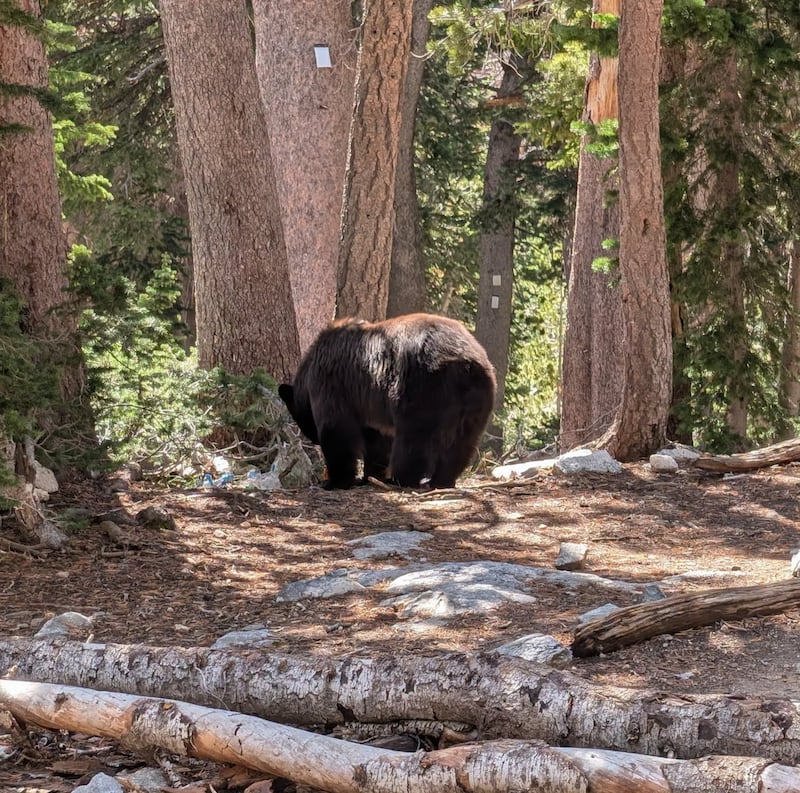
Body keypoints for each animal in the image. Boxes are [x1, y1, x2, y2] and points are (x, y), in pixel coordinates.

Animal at [278, 313, 496, 490]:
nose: (313, 440)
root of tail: (465, 362)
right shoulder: (369, 405)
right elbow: (377, 439)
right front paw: (371, 475)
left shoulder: (332, 385)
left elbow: (337, 430)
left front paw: (335, 481)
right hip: (478, 398)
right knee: (463, 442)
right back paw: (443, 480)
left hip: (422, 387)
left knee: (414, 438)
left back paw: (402, 478)